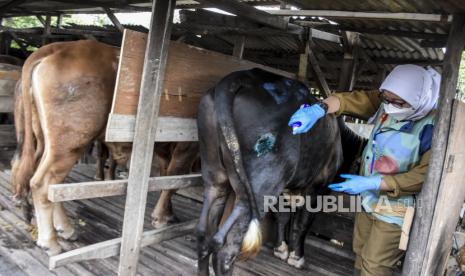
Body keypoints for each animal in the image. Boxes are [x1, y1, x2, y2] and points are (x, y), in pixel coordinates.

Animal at [196, 68, 362, 274]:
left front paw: (281, 249)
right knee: (225, 252)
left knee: (204, 234)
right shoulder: (319, 186)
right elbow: (302, 222)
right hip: (261, 183)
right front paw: (296, 257)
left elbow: (282, 216)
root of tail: (243, 76)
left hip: (214, 173)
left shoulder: (286, 186)